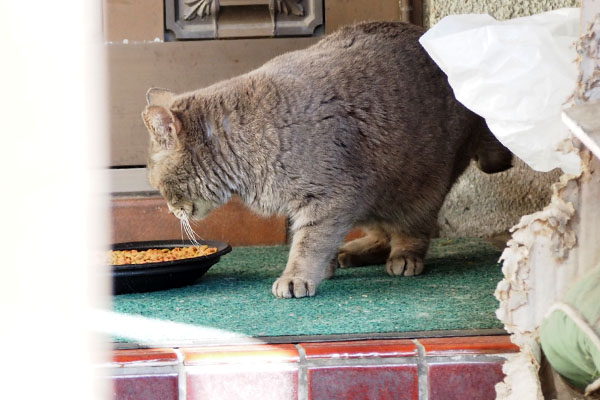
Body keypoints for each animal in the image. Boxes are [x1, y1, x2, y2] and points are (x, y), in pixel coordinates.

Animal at [142, 21, 510, 296]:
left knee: (411, 231)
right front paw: (327, 265)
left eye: (158, 186)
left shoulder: (330, 197)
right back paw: (352, 252)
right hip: (375, 196)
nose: (170, 210)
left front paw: (297, 277)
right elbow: (319, 241)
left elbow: (308, 244)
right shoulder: (336, 201)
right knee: (379, 232)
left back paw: (403, 258)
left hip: (419, 186)